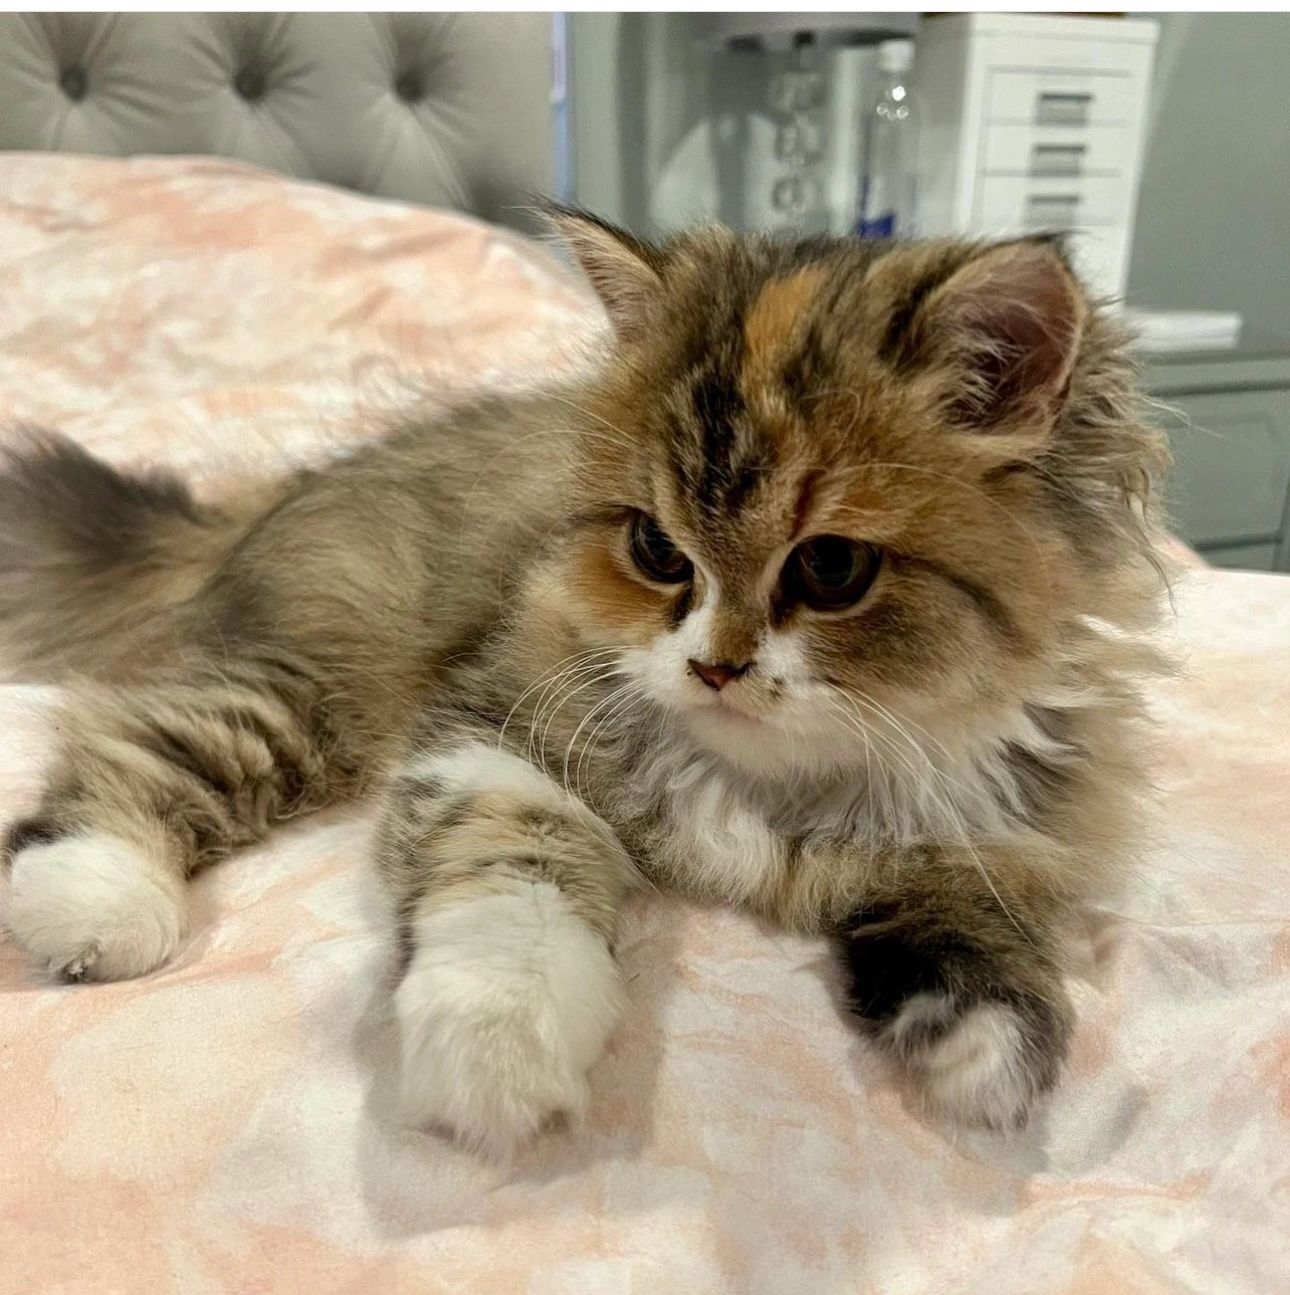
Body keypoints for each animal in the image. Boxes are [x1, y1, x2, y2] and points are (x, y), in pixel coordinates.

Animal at [2, 209, 1170, 1155]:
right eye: (658, 550)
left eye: (832, 568)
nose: (715, 665)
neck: (775, 791)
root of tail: (279, 491)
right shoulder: (491, 730)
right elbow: (518, 879)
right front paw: (495, 1050)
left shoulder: (1008, 817)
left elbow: (985, 914)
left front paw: (987, 1048)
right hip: (311, 690)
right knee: (130, 739)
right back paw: (90, 900)